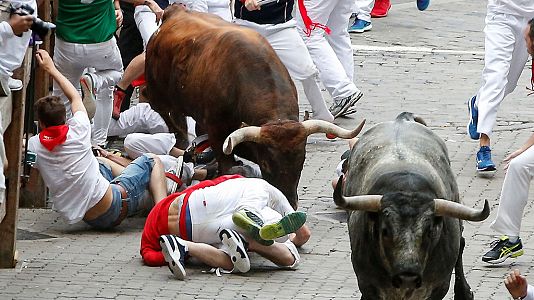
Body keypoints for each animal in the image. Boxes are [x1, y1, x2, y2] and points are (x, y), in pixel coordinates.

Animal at [146, 7, 364, 209]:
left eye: (301, 161)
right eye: (267, 164)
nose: (290, 203)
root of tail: (176, 11)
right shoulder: (217, 131)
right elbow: (227, 165)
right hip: (158, 96)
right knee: (168, 117)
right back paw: (181, 140)